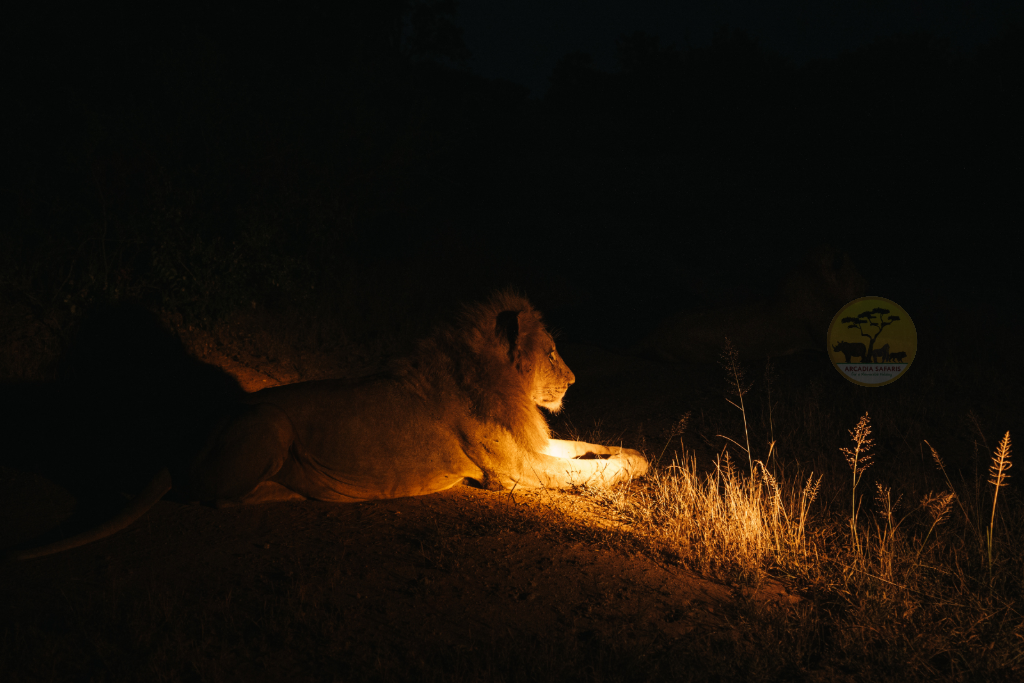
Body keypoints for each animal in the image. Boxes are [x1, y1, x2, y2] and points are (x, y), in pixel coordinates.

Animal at [9, 290, 647, 561]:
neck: (494, 377)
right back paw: (304, 491)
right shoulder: (512, 470)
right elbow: (592, 473)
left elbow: (589, 446)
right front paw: (639, 466)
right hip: (270, 424)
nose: (573, 380)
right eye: (553, 352)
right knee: (217, 498)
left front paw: (634, 452)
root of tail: (191, 435)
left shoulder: (532, 444)